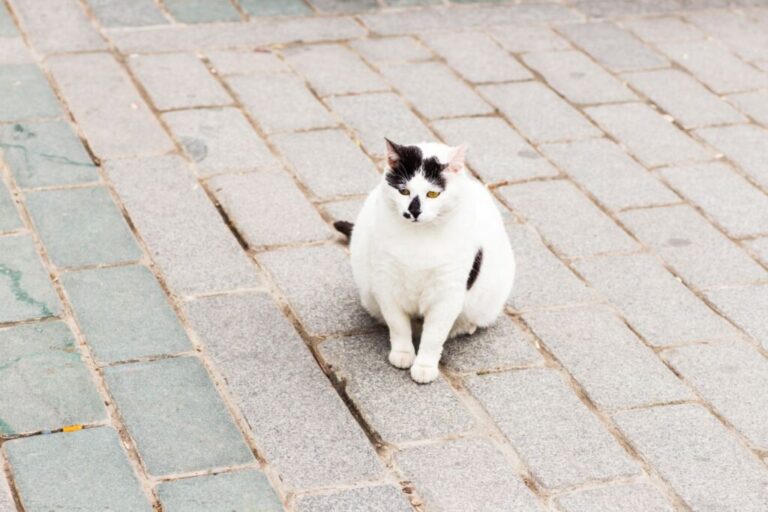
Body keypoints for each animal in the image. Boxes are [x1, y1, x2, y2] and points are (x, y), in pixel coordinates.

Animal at [332, 138, 516, 382]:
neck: (419, 241)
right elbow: (398, 325)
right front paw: (403, 354)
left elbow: (434, 336)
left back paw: (464, 326)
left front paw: (425, 366)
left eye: (432, 194)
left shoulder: (447, 293)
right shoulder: (385, 283)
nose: (414, 212)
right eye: (403, 191)